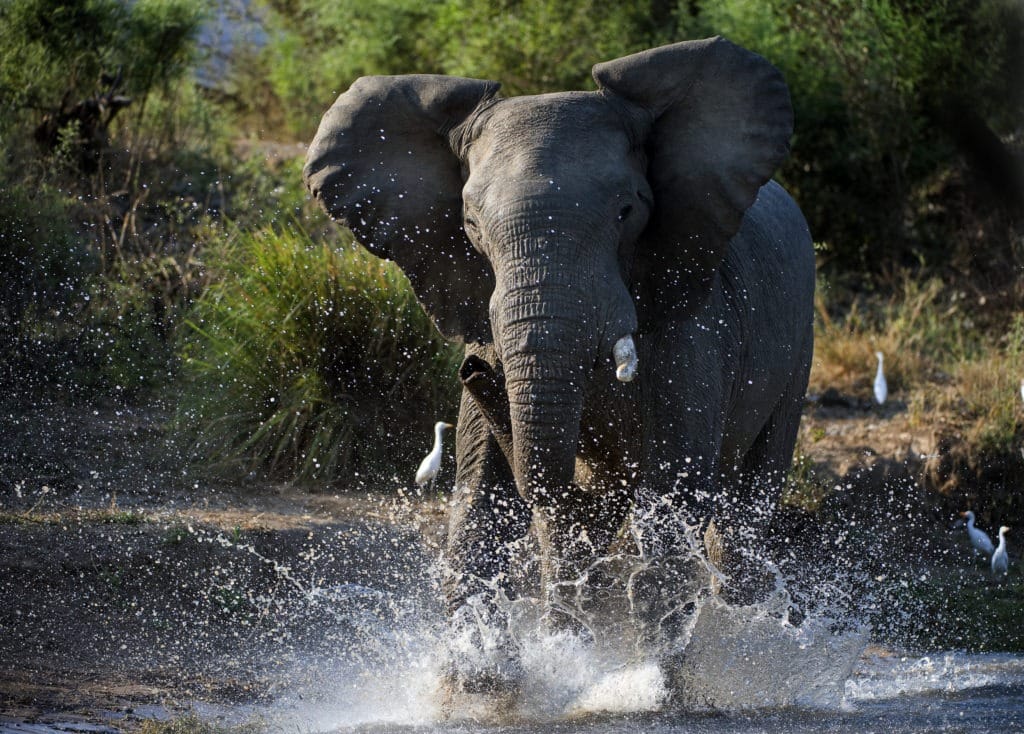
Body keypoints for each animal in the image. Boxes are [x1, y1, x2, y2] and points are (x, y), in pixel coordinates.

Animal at [301, 38, 815, 692]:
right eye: (470, 225)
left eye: (627, 210)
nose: (472, 372)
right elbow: (482, 505)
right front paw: (483, 684)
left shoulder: (697, 325)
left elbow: (672, 499)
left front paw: (654, 691)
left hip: (799, 344)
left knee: (744, 516)